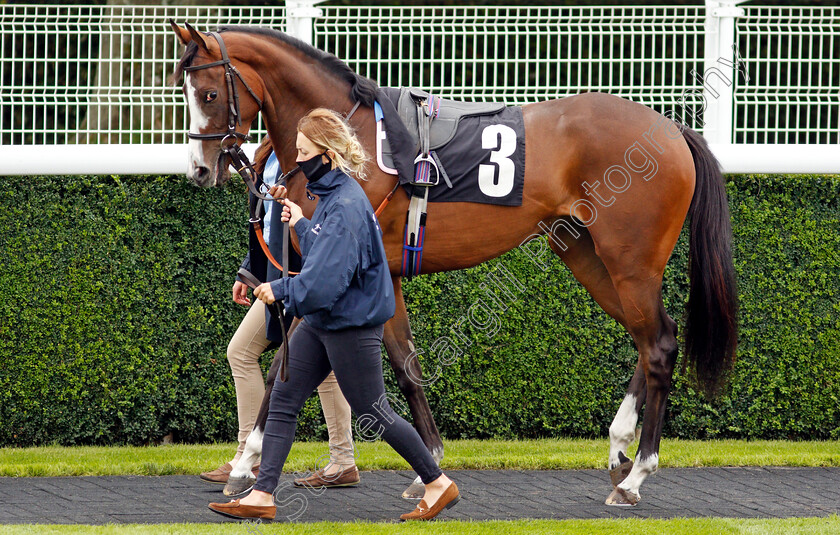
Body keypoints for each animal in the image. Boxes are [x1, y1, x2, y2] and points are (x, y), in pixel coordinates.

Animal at [169, 21, 736, 506]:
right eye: (183, 92)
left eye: (210, 94)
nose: (200, 169)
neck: (348, 145)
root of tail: (671, 129)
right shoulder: (382, 280)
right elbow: (405, 365)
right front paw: (429, 467)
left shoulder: (335, 277)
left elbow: (289, 369)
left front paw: (246, 461)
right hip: (589, 256)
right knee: (649, 339)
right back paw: (620, 449)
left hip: (630, 264)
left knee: (658, 345)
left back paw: (638, 473)